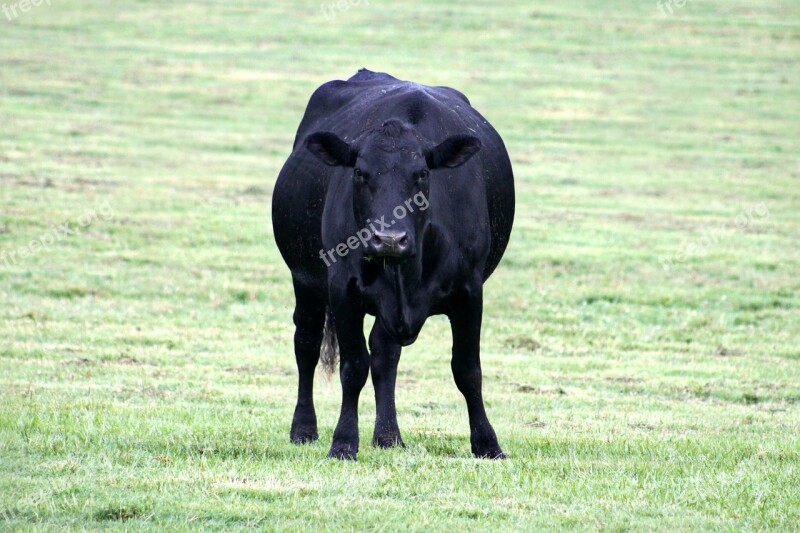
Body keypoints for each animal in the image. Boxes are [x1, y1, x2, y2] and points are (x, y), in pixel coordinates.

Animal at [272, 68, 516, 460]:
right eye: (359, 172)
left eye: (422, 173)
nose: (388, 239)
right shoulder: (342, 290)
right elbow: (353, 366)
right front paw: (343, 442)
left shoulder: (470, 291)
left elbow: (467, 369)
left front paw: (487, 443)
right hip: (304, 280)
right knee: (306, 344)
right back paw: (304, 428)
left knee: (384, 355)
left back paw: (389, 436)